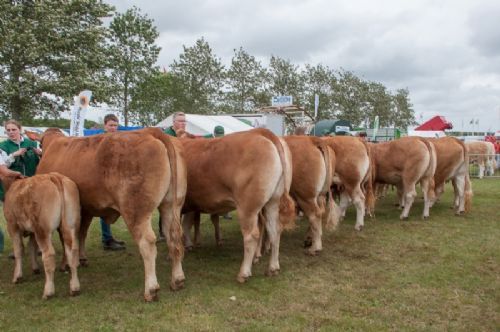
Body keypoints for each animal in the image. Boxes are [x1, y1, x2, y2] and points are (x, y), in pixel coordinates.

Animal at [3, 172, 81, 300]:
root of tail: (53, 176)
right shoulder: (32, 231)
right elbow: (31, 247)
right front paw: (35, 268)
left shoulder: (12, 225)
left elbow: (19, 250)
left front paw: (17, 276)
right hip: (70, 224)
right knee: (72, 252)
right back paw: (74, 288)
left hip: (42, 230)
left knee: (48, 255)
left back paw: (48, 292)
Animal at [35, 127, 187, 300]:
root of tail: (150, 131)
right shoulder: (85, 210)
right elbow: (81, 233)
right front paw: (81, 258)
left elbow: (66, 238)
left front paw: (65, 264)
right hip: (172, 205)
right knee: (173, 237)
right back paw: (177, 280)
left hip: (136, 211)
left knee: (147, 243)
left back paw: (151, 289)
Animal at [181, 128, 294, 282]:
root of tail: (260, 132)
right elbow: (186, 224)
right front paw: (189, 245)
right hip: (273, 202)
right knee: (274, 230)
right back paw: (273, 268)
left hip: (247, 207)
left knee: (251, 235)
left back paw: (244, 273)